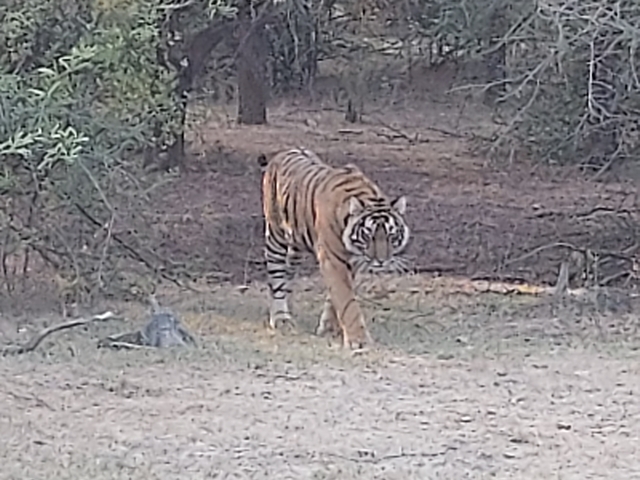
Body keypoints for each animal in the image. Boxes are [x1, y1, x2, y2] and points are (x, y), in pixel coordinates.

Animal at [258, 147, 411, 349]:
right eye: (369, 235)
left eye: (391, 236)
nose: (381, 261)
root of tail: (282, 152)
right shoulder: (333, 259)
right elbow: (346, 300)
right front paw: (359, 340)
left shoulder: (349, 262)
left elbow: (335, 298)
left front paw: (330, 328)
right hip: (276, 235)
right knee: (276, 277)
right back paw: (281, 318)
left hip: (295, 243)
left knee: (286, 275)